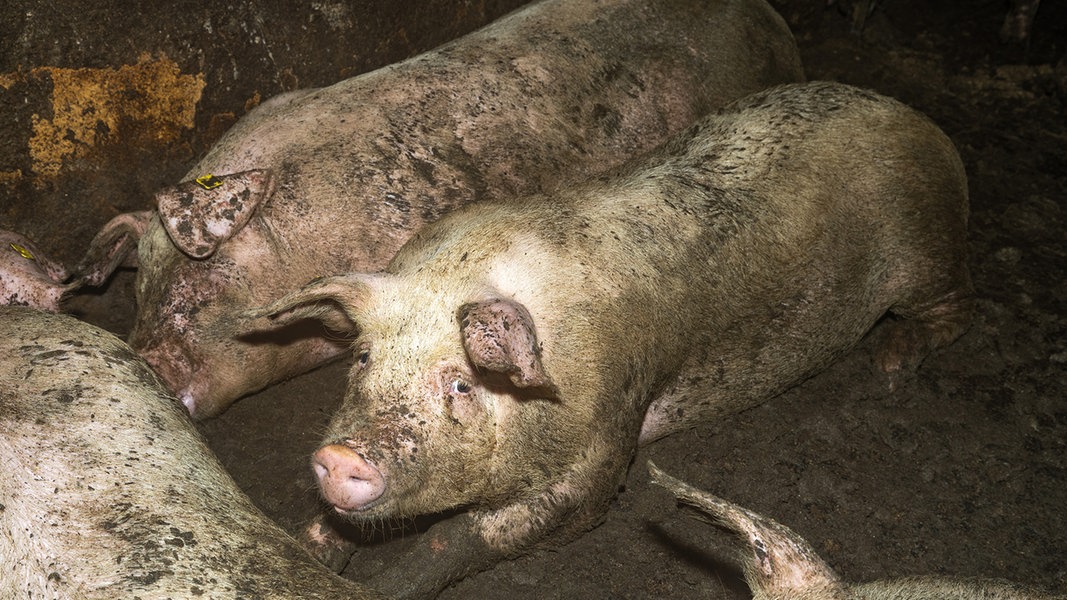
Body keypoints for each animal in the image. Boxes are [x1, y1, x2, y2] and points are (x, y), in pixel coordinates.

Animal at [247, 81, 977, 593]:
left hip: (925, 254)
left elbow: (460, 540)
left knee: (950, 310)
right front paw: (307, 545)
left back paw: (891, 365)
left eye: (459, 382)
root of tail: (914, 118)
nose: (340, 456)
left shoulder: (600, 449)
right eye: (363, 356)